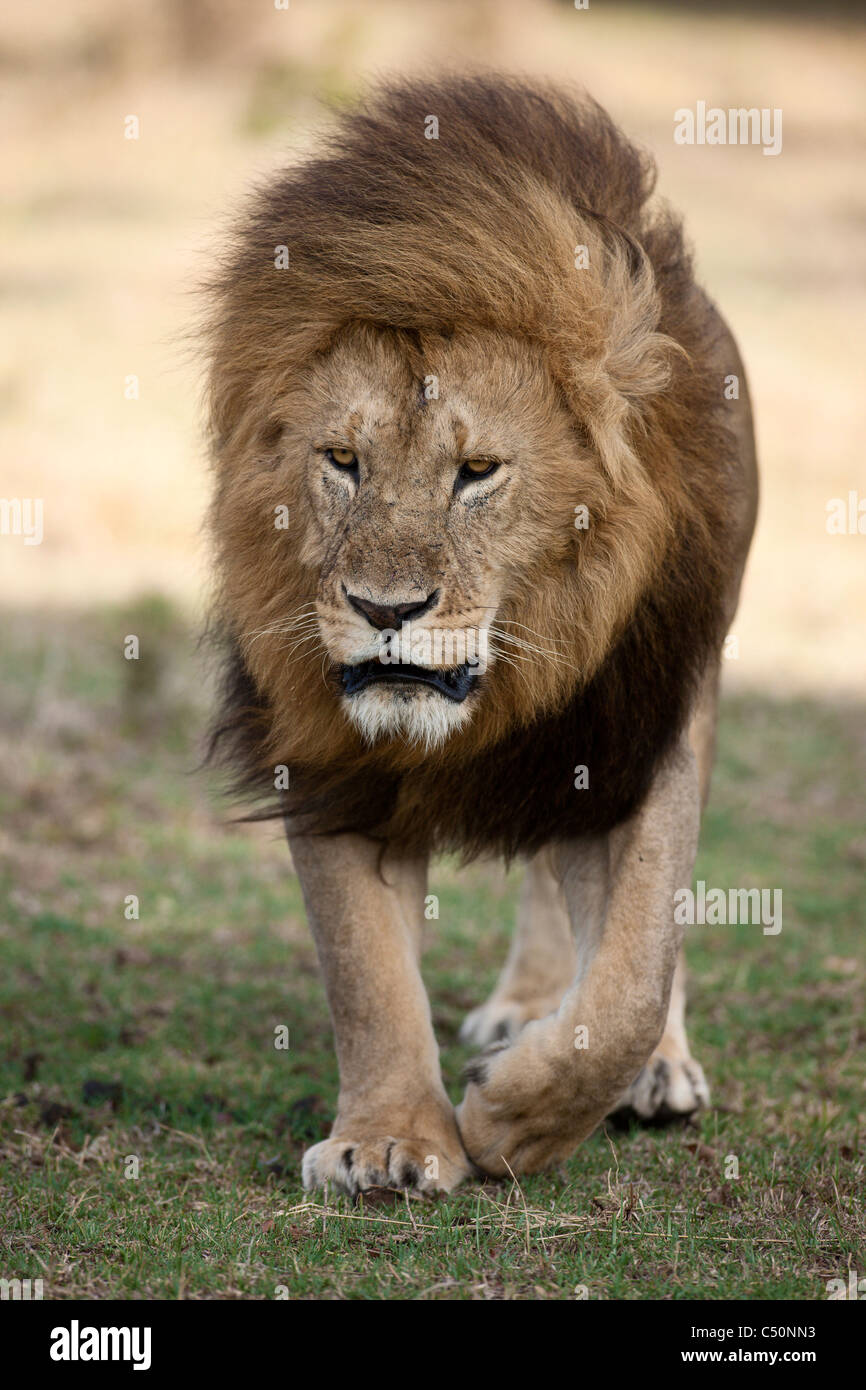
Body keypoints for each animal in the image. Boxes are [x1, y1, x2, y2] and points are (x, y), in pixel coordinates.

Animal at [205, 77, 758, 1194]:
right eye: (342, 460)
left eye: (477, 473)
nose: (384, 610)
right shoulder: (329, 757)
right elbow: (364, 971)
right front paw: (389, 1140)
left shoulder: (633, 728)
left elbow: (633, 976)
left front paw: (514, 1120)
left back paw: (640, 1066)